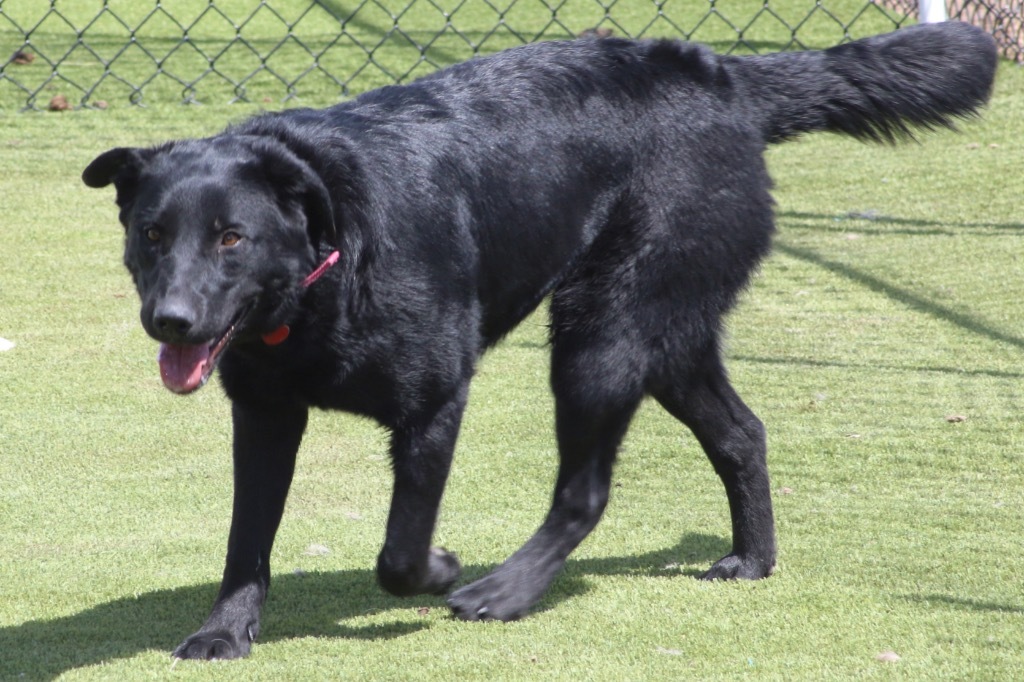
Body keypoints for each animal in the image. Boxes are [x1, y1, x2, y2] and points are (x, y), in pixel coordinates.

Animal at [83, 23, 995, 655]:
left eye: (231, 238)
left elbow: (400, 552)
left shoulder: (434, 402)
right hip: (663, 336)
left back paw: (509, 591)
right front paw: (225, 632)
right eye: (152, 234)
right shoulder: (266, 416)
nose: (171, 321)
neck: (326, 263)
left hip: (601, 339)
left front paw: (444, 569)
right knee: (743, 433)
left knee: (585, 492)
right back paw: (752, 559)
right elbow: (247, 537)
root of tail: (723, 77)